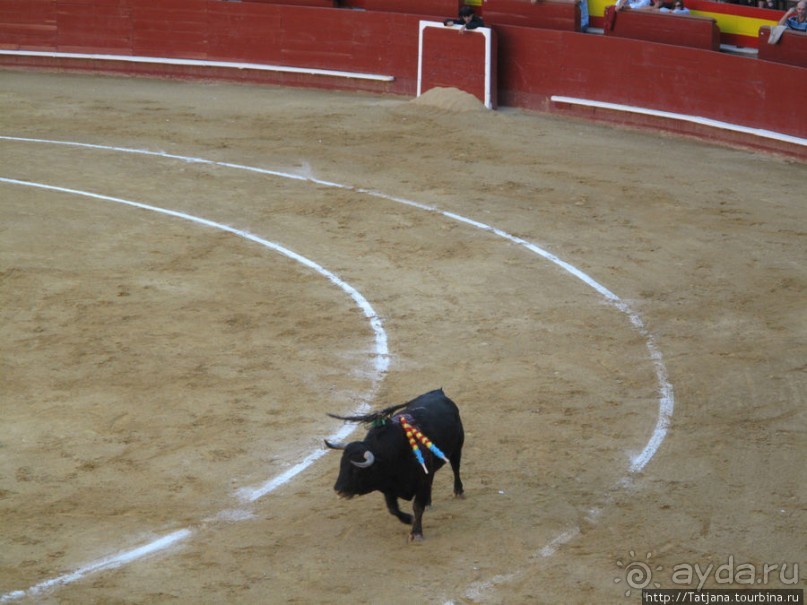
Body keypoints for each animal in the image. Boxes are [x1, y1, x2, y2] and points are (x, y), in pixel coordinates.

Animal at [326, 390, 468, 540]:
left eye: (356, 471)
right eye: (341, 466)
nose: (338, 490)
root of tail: (438, 392)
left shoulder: (420, 481)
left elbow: (417, 506)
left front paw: (416, 532)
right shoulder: (388, 487)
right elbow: (393, 508)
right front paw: (409, 519)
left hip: (457, 447)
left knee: (456, 468)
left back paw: (458, 491)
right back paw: (429, 501)